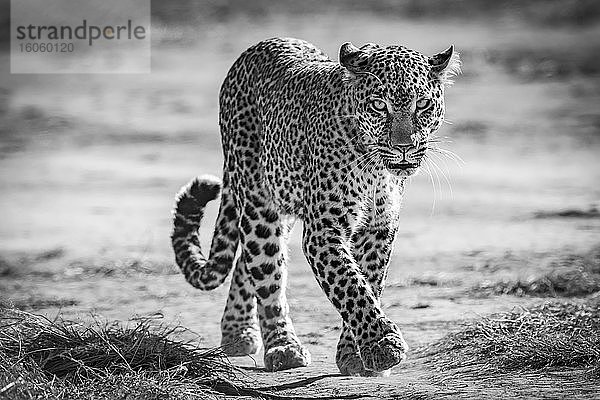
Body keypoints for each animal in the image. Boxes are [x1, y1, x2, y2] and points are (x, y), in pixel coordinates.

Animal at [171, 37, 462, 376]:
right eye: (379, 105)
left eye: (423, 105)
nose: (404, 146)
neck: (376, 168)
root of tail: (258, 46)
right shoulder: (323, 230)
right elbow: (350, 285)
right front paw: (382, 345)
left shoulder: (379, 228)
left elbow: (369, 282)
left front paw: (354, 354)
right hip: (258, 202)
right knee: (266, 273)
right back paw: (282, 346)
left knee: (247, 258)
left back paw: (237, 332)